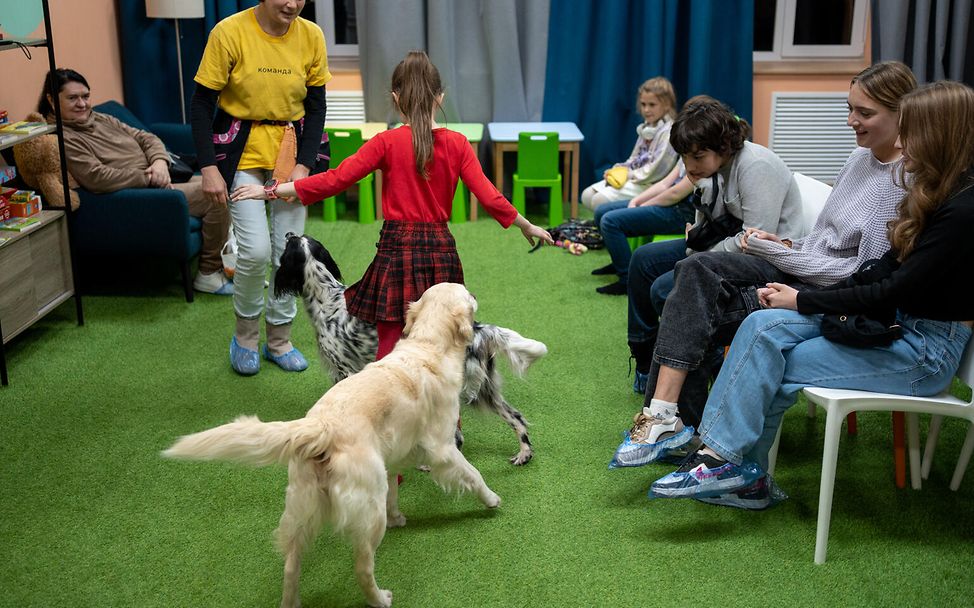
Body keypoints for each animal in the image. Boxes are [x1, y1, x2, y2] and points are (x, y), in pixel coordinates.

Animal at [276, 233, 548, 466]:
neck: (328, 300)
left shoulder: (345, 371)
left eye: (290, 244)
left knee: (458, 438)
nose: (288, 233)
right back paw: (524, 454)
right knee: (516, 418)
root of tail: (478, 329)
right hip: (484, 391)